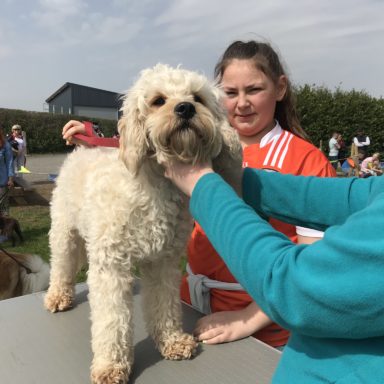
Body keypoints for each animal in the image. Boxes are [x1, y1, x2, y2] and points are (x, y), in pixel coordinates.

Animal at [45, 64, 242, 382]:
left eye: (197, 98)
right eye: (159, 100)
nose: (185, 108)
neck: (153, 186)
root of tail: (82, 149)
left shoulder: (163, 261)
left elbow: (165, 304)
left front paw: (172, 341)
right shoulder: (111, 266)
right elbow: (112, 321)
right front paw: (111, 365)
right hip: (64, 231)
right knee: (62, 265)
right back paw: (58, 296)